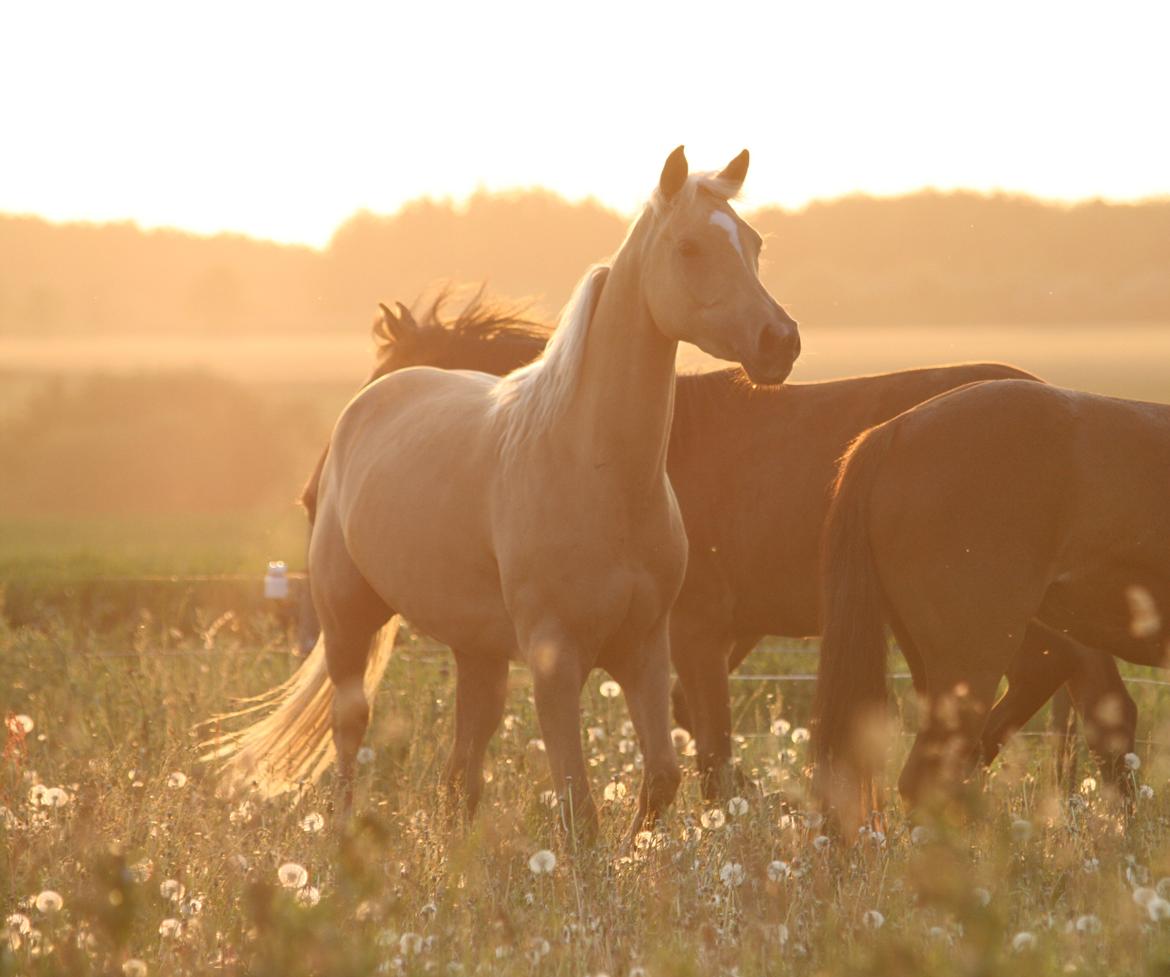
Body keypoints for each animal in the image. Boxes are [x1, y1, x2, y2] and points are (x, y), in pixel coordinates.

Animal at [205, 149, 800, 837]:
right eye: (689, 246)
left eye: (753, 244)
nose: (780, 341)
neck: (600, 473)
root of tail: (369, 403)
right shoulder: (555, 661)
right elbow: (579, 808)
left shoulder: (647, 651)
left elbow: (661, 780)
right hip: (348, 619)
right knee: (350, 729)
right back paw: (344, 836)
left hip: (478, 652)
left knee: (461, 775)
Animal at [299, 306, 1132, 800]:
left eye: (382, 385)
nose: (314, 497)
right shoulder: (700, 640)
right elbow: (699, 741)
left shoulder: (696, 632)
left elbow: (710, 757)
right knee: (1095, 702)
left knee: (1066, 682)